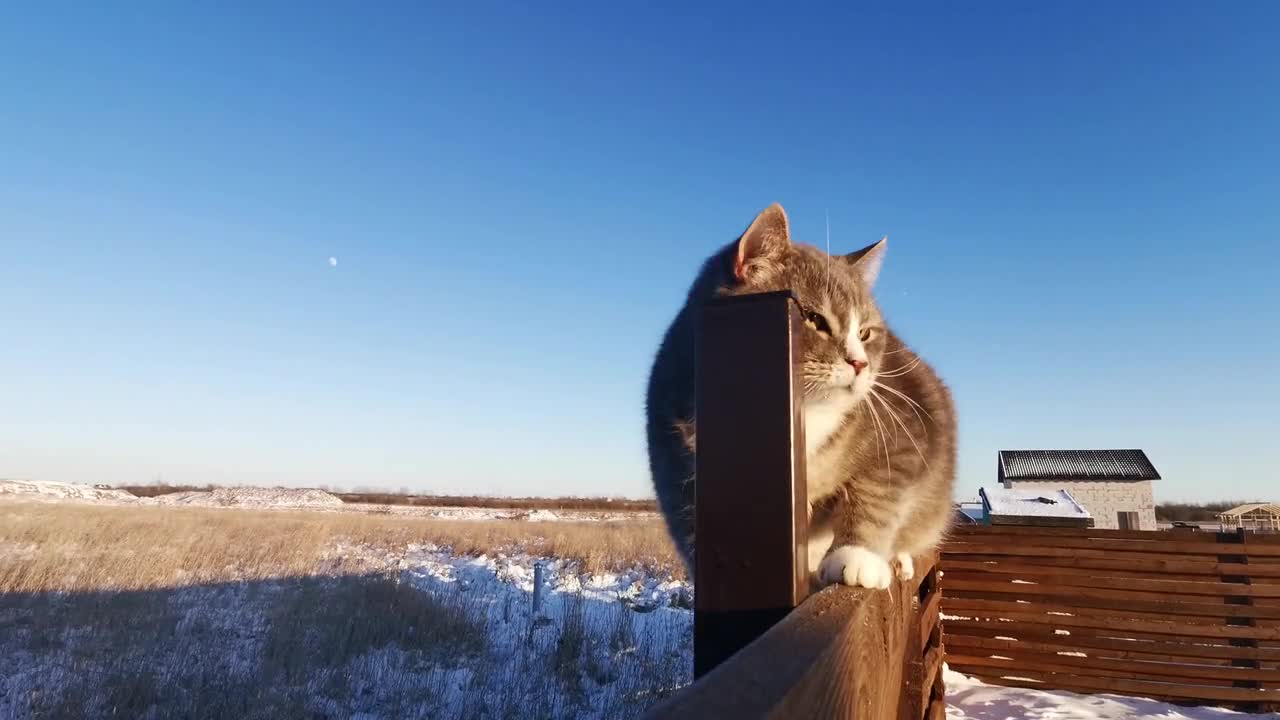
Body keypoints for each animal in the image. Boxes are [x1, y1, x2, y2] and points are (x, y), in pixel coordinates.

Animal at [645, 198, 957, 586]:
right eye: (814, 319)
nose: (860, 363)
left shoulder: (902, 436)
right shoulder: (677, 470)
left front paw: (855, 556)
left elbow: (877, 495)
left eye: (866, 333)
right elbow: (692, 529)